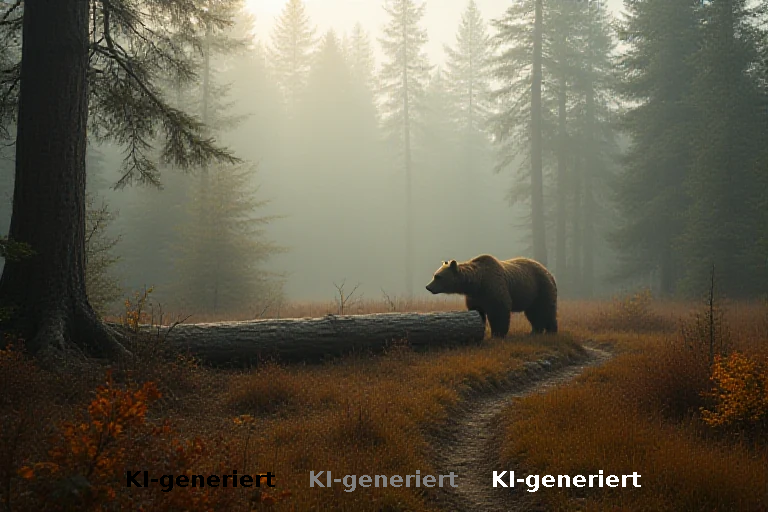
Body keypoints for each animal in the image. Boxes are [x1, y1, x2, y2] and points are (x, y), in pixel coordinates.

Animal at [425, 254, 558, 337]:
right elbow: (478, 312)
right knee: (533, 313)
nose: (428, 287)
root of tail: (548, 271)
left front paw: (498, 334)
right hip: (531, 295)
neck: (477, 283)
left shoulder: (494, 289)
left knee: (546, 309)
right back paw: (535, 331)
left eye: (438, 276)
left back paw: (551, 331)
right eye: (434, 274)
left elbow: (499, 311)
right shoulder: (475, 297)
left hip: (541, 288)